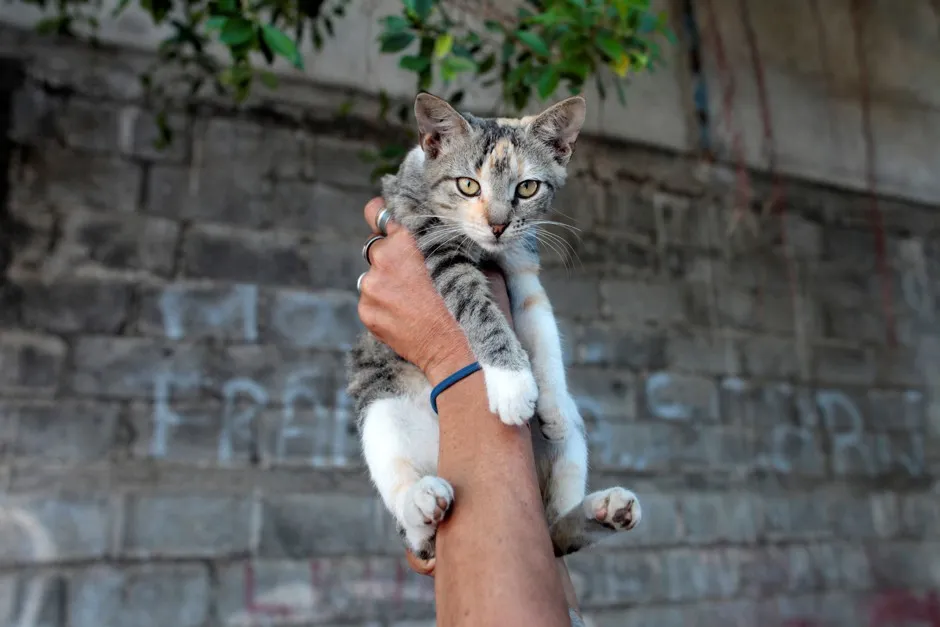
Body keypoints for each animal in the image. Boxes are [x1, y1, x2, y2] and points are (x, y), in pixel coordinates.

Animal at [348, 92, 644, 564]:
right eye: (468, 185)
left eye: (527, 188)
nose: (499, 224)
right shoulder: (430, 240)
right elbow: (476, 304)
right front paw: (512, 385)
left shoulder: (523, 269)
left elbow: (542, 329)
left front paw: (549, 403)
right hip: (381, 408)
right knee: (416, 529)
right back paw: (420, 504)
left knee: (554, 537)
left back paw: (606, 510)